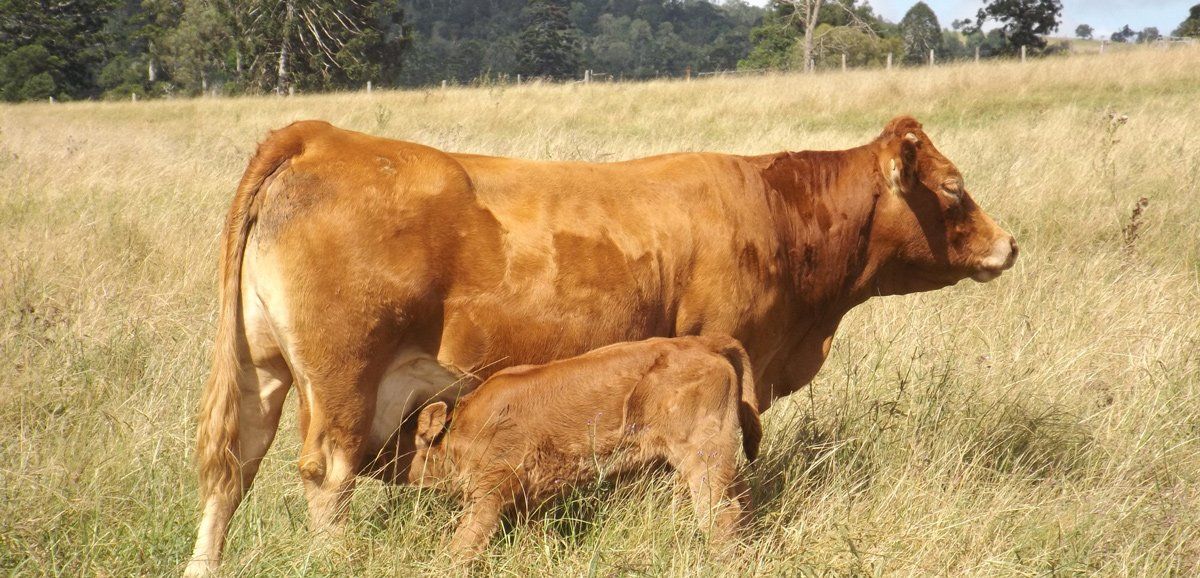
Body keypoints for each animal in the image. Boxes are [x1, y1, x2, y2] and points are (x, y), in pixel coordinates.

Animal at [402, 335, 761, 559]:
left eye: (417, 447)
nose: (408, 478)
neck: (463, 428)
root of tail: (701, 342)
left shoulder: (492, 489)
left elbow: (466, 541)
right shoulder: (531, 498)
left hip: (703, 456)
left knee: (721, 514)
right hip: (723, 457)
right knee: (742, 504)